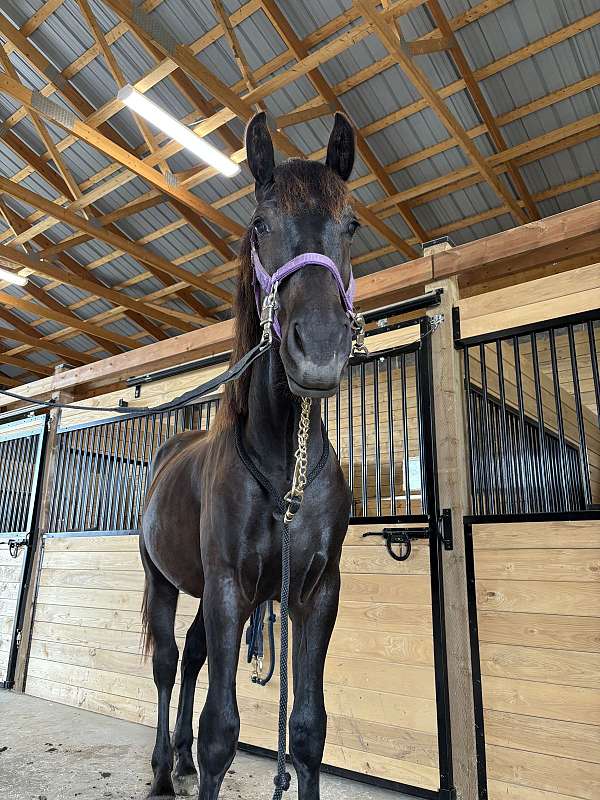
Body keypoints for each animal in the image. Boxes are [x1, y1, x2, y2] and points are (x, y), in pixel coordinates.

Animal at [139, 111, 356, 800]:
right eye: (260, 225)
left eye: (350, 225)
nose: (319, 350)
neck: (283, 465)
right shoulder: (230, 586)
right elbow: (221, 731)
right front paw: (193, 758)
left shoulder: (316, 593)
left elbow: (308, 729)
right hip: (162, 580)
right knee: (166, 662)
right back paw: (162, 769)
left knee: (192, 655)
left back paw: (177, 761)